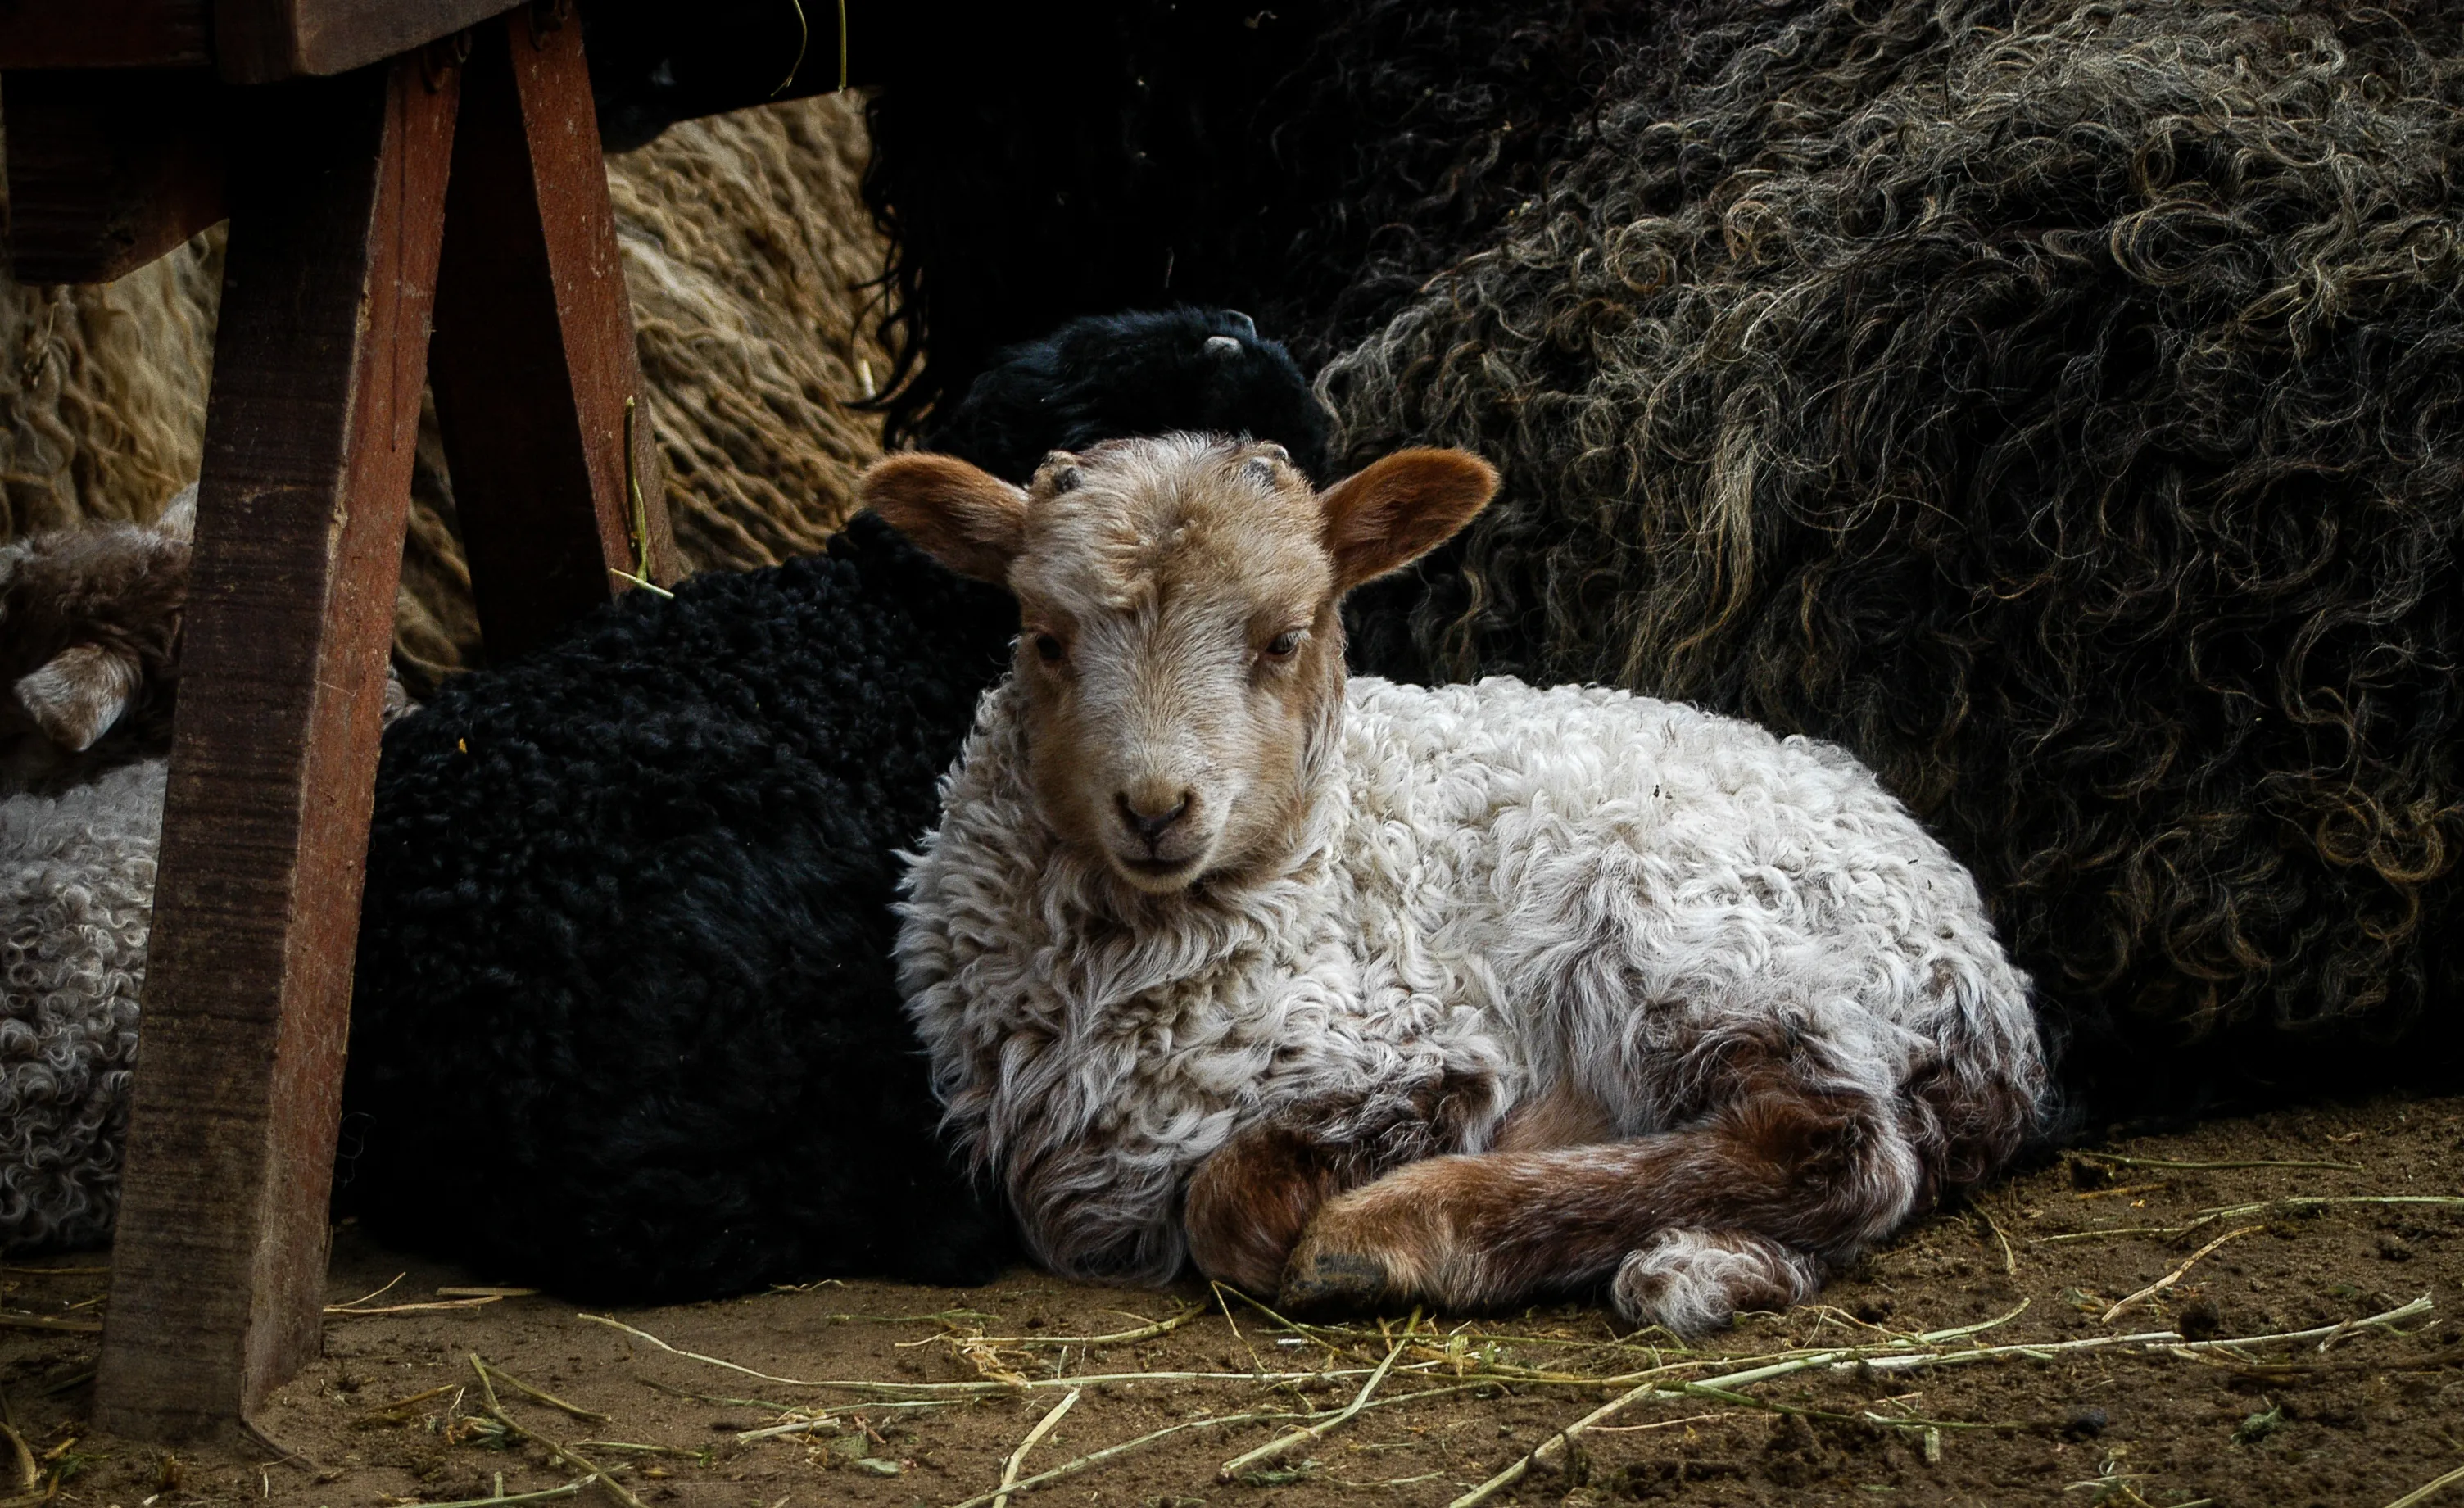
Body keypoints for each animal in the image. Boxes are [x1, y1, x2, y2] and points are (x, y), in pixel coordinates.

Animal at [878, 434, 2045, 1332]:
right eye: (1044, 638)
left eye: (1284, 636)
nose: (1157, 808)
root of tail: (1982, 971)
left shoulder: (1417, 1042)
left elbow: (1226, 1203)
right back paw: (1703, 1266)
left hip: (1681, 926)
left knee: (1834, 1144)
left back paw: (1398, 1230)